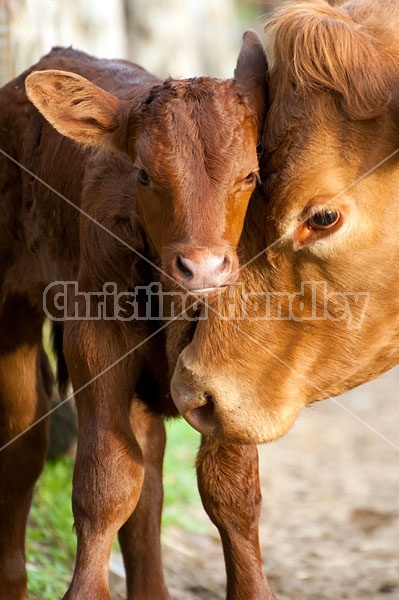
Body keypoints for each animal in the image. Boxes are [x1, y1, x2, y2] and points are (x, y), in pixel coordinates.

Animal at [0, 36, 268, 600]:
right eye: (144, 174)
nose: (203, 268)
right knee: (24, 441)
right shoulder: (95, 338)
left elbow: (231, 485)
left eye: (251, 175)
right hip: (10, 303)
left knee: (149, 468)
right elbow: (108, 480)